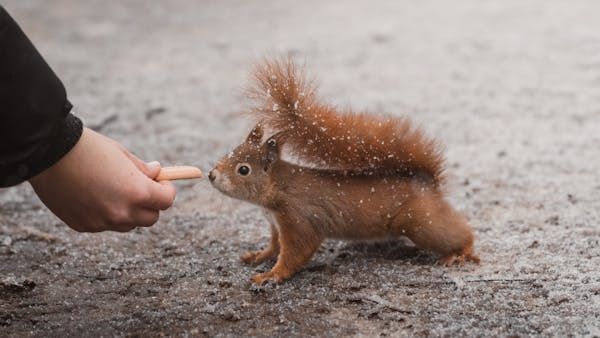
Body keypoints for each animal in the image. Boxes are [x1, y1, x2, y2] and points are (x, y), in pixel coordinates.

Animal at [209, 58, 480, 286]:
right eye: (228, 153)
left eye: (243, 169)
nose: (212, 175)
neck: (277, 186)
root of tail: (425, 182)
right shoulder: (276, 224)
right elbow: (275, 247)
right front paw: (258, 255)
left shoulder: (298, 218)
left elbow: (296, 252)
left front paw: (271, 275)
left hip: (420, 222)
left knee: (459, 233)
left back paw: (461, 252)